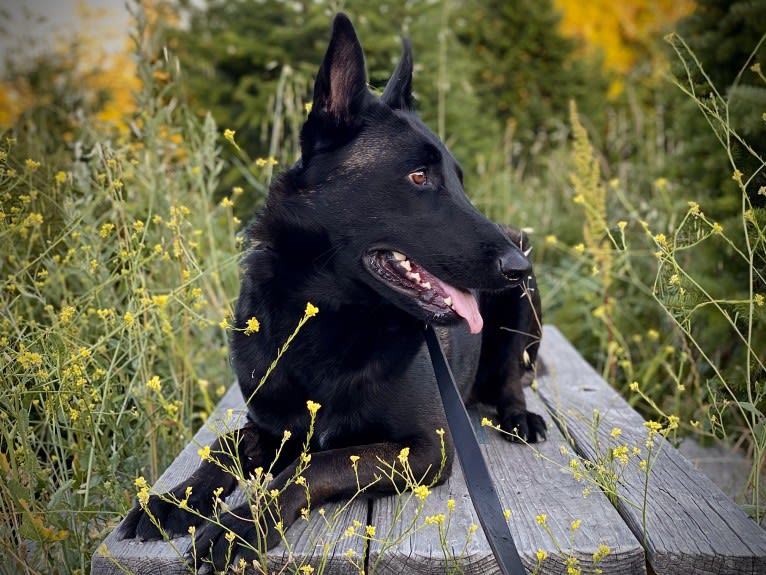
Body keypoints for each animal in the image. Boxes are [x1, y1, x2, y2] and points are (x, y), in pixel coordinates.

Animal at [123, 12, 544, 572]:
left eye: (459, 180)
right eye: (419, 176)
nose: (518, 267)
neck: (326, 319)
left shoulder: (424, 447)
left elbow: (316, 463)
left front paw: (239, 524)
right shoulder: (271, 426)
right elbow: (224, 447)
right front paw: (173, 501)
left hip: (522, 308)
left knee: (512, 376)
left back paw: (519, 415)